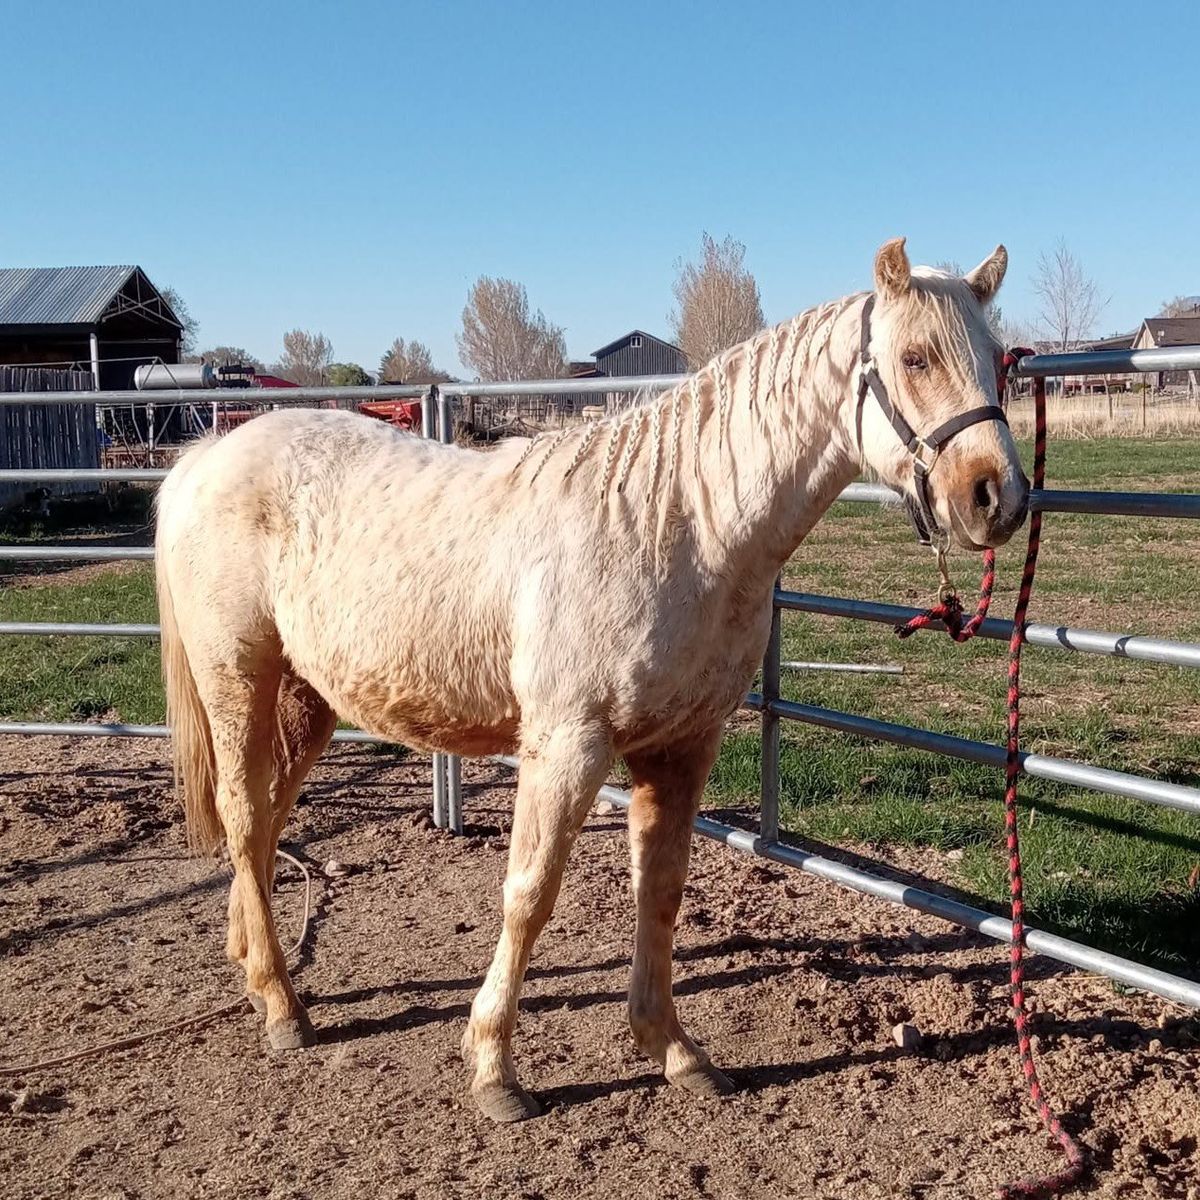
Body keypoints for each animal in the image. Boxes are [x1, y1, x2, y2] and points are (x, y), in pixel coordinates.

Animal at [154, 238, 1027, 1123]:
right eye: (915, 357)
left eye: (1000, 362)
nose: (997, 495)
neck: (681, 525)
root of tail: (206, 459)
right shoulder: (568, 743)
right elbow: (530, 893)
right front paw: (494, 1069)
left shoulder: (683, 745)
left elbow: (662, 890)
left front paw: (673, 1051)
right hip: (239, 675)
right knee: (242, 814)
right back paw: (283, 1007)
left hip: (309, 697)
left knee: (266, 819)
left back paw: (255, 971)